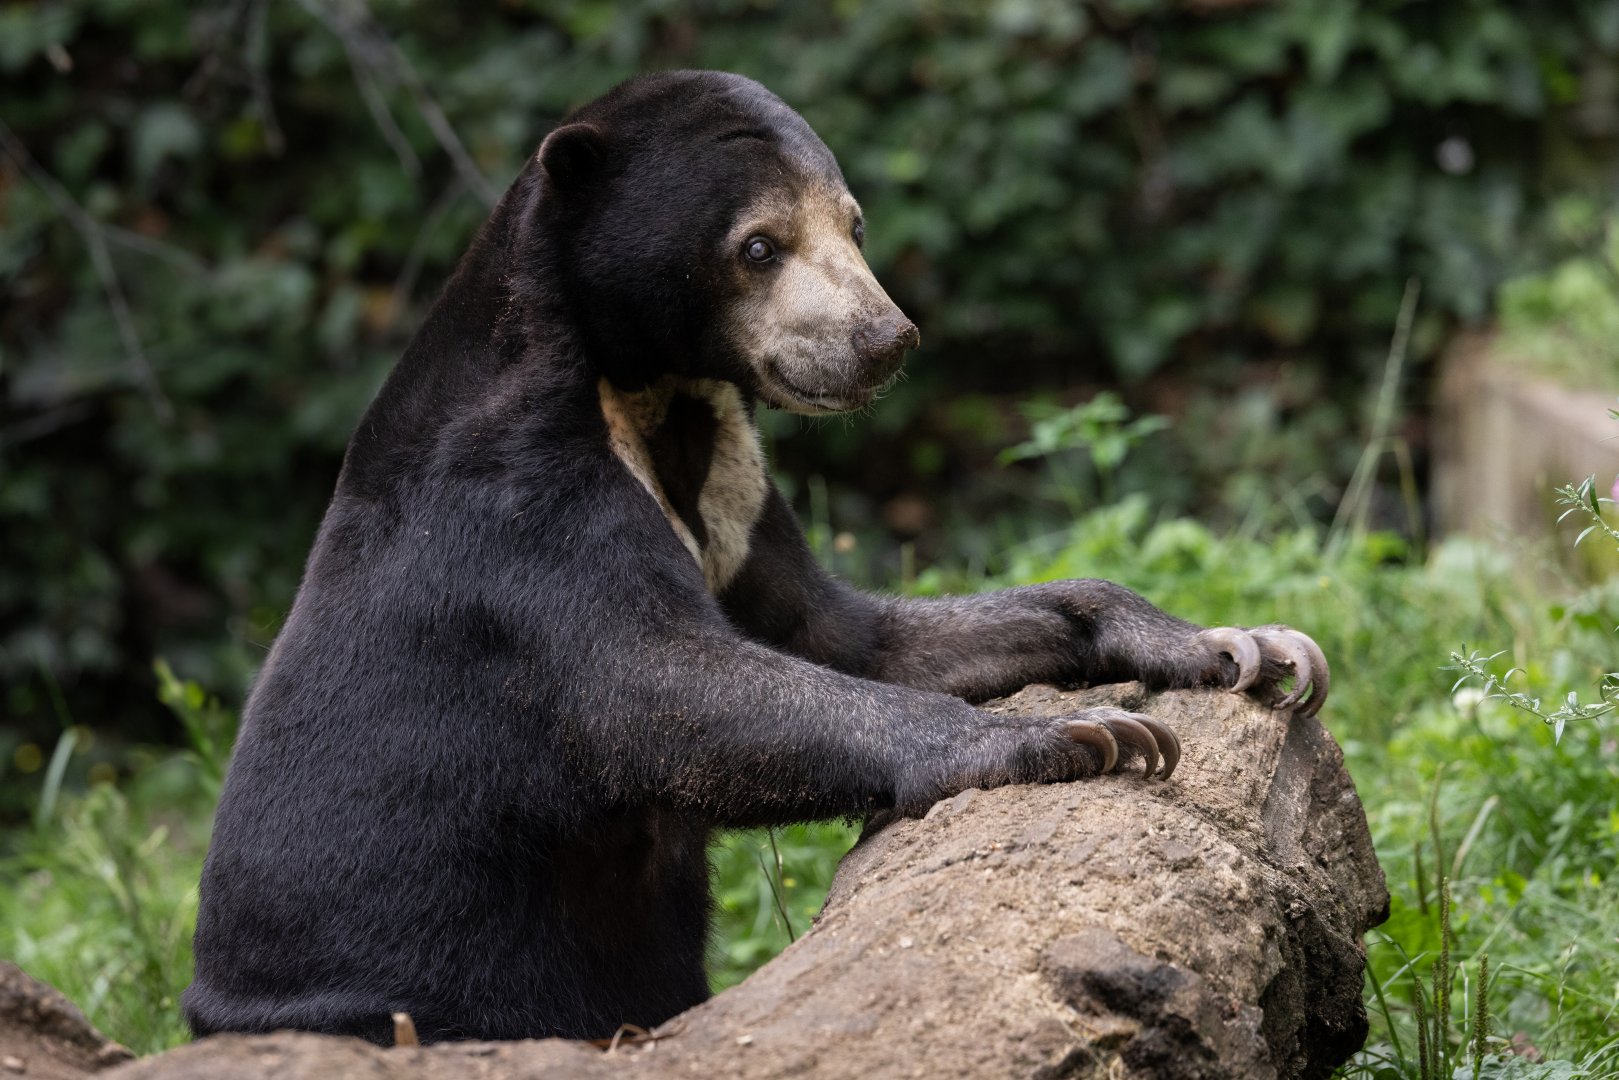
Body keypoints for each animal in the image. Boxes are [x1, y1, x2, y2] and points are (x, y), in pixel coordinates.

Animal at [182, 70, 1328, 1046]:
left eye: (853, 224)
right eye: (759, 246)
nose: (882, 340)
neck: (652, 397)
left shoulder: (734, 491)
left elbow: (851, 634)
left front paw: (1245, 647)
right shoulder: (516, 508)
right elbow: (663, 688)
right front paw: (1088, 737)